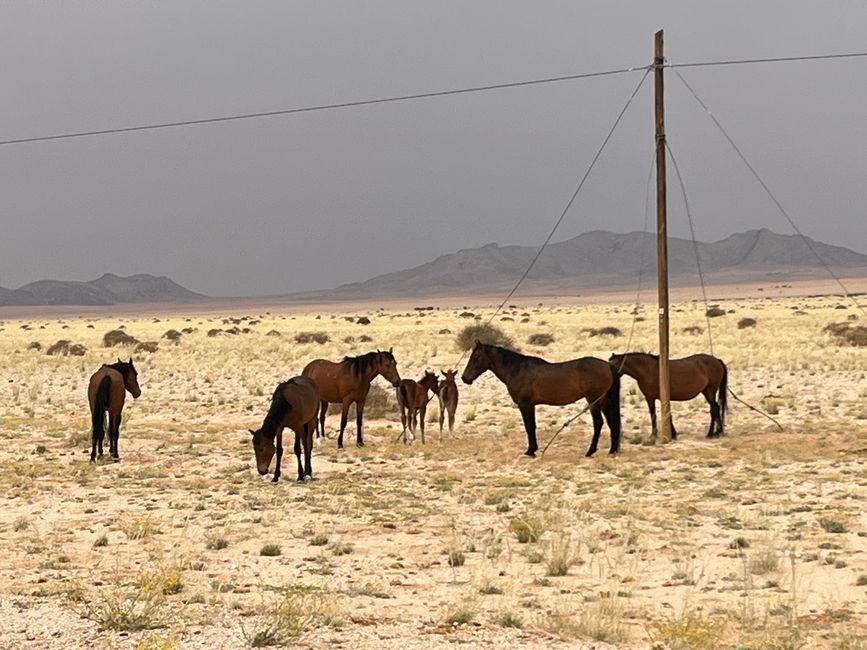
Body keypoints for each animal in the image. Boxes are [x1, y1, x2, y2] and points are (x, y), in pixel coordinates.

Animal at [458, 340, 620, 456]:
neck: (516, 370)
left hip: (593, 400)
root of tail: (608, 365)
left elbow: (529, 426)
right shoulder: (531, 405)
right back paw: (612, 450)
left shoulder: (525, 404)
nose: (464, 378)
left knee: (598, 422)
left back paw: (590, 451)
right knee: (611, 422)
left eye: (476, 357)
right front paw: (533, 449)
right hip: (604, 400)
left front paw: (530, 451)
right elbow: (533, 426)